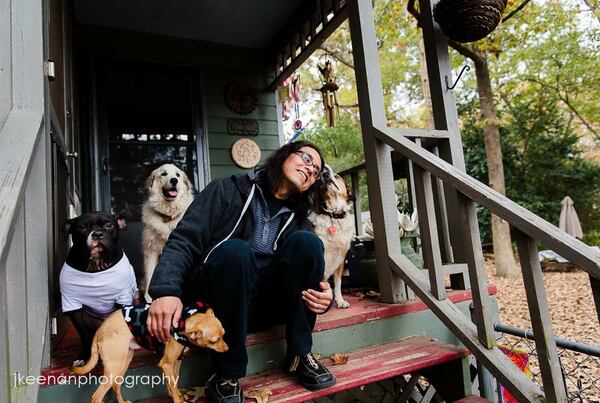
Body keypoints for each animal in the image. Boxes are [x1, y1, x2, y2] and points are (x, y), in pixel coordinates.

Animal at [59, 213, 137, 364]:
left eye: (108, 225)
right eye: (83, 227)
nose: (98, 234)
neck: (96, 265)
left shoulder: (123, 297)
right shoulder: (72, 305)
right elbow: (84, 335)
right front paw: (83, 356)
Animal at [142, 164, 195, 300]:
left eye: (177, 175)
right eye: (164, 174)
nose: (174, 180)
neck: (168, 214)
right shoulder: (151, 250)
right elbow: (150, 273)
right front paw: (149, 297)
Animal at [312, 165, 354, 310]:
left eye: (336, 176)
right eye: (320, 180)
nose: (325, 174)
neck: (333, 216)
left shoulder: (341, 258)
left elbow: (338, 283)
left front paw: (340, 301)